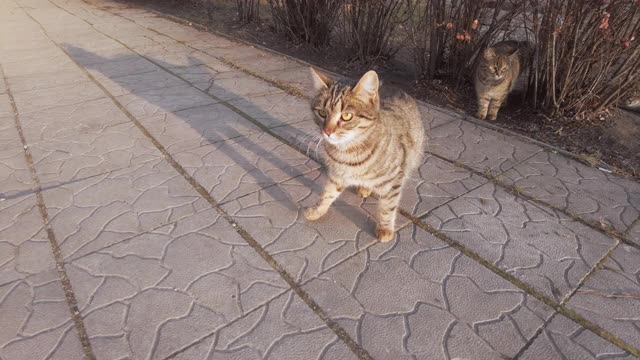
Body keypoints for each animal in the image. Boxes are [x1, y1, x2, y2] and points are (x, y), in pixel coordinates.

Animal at [304, 67, 424, 242]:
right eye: (322, 113)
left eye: (346, 116)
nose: (327, 131)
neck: (347, 151)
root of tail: (397, 88)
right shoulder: (337, 175)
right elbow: (328, 193)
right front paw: (318, 210)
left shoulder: (395, 178)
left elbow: (388, 206)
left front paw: (385, 228)